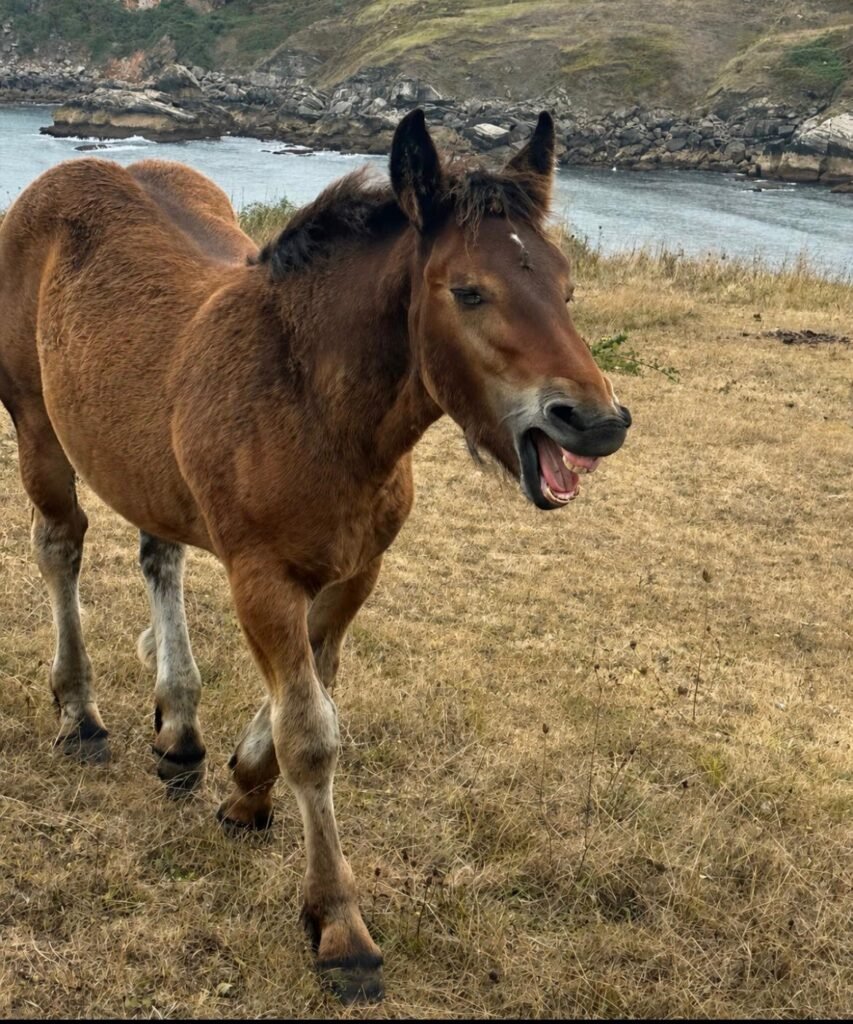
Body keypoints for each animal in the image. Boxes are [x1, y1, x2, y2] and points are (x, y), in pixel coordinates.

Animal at [0, 109, 631, 1002]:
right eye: (468, 290)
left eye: (566, 287)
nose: (596, 421)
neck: (312, 400)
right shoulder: (261, 577)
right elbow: (310, 732)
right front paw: (339, 927)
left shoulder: (355, 571)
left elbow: (313, 693)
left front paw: (244, 784)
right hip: (34, 422)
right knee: (60, 547)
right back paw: (81, 715)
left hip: (146, 461)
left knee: (160, 557)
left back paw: (178, 727)